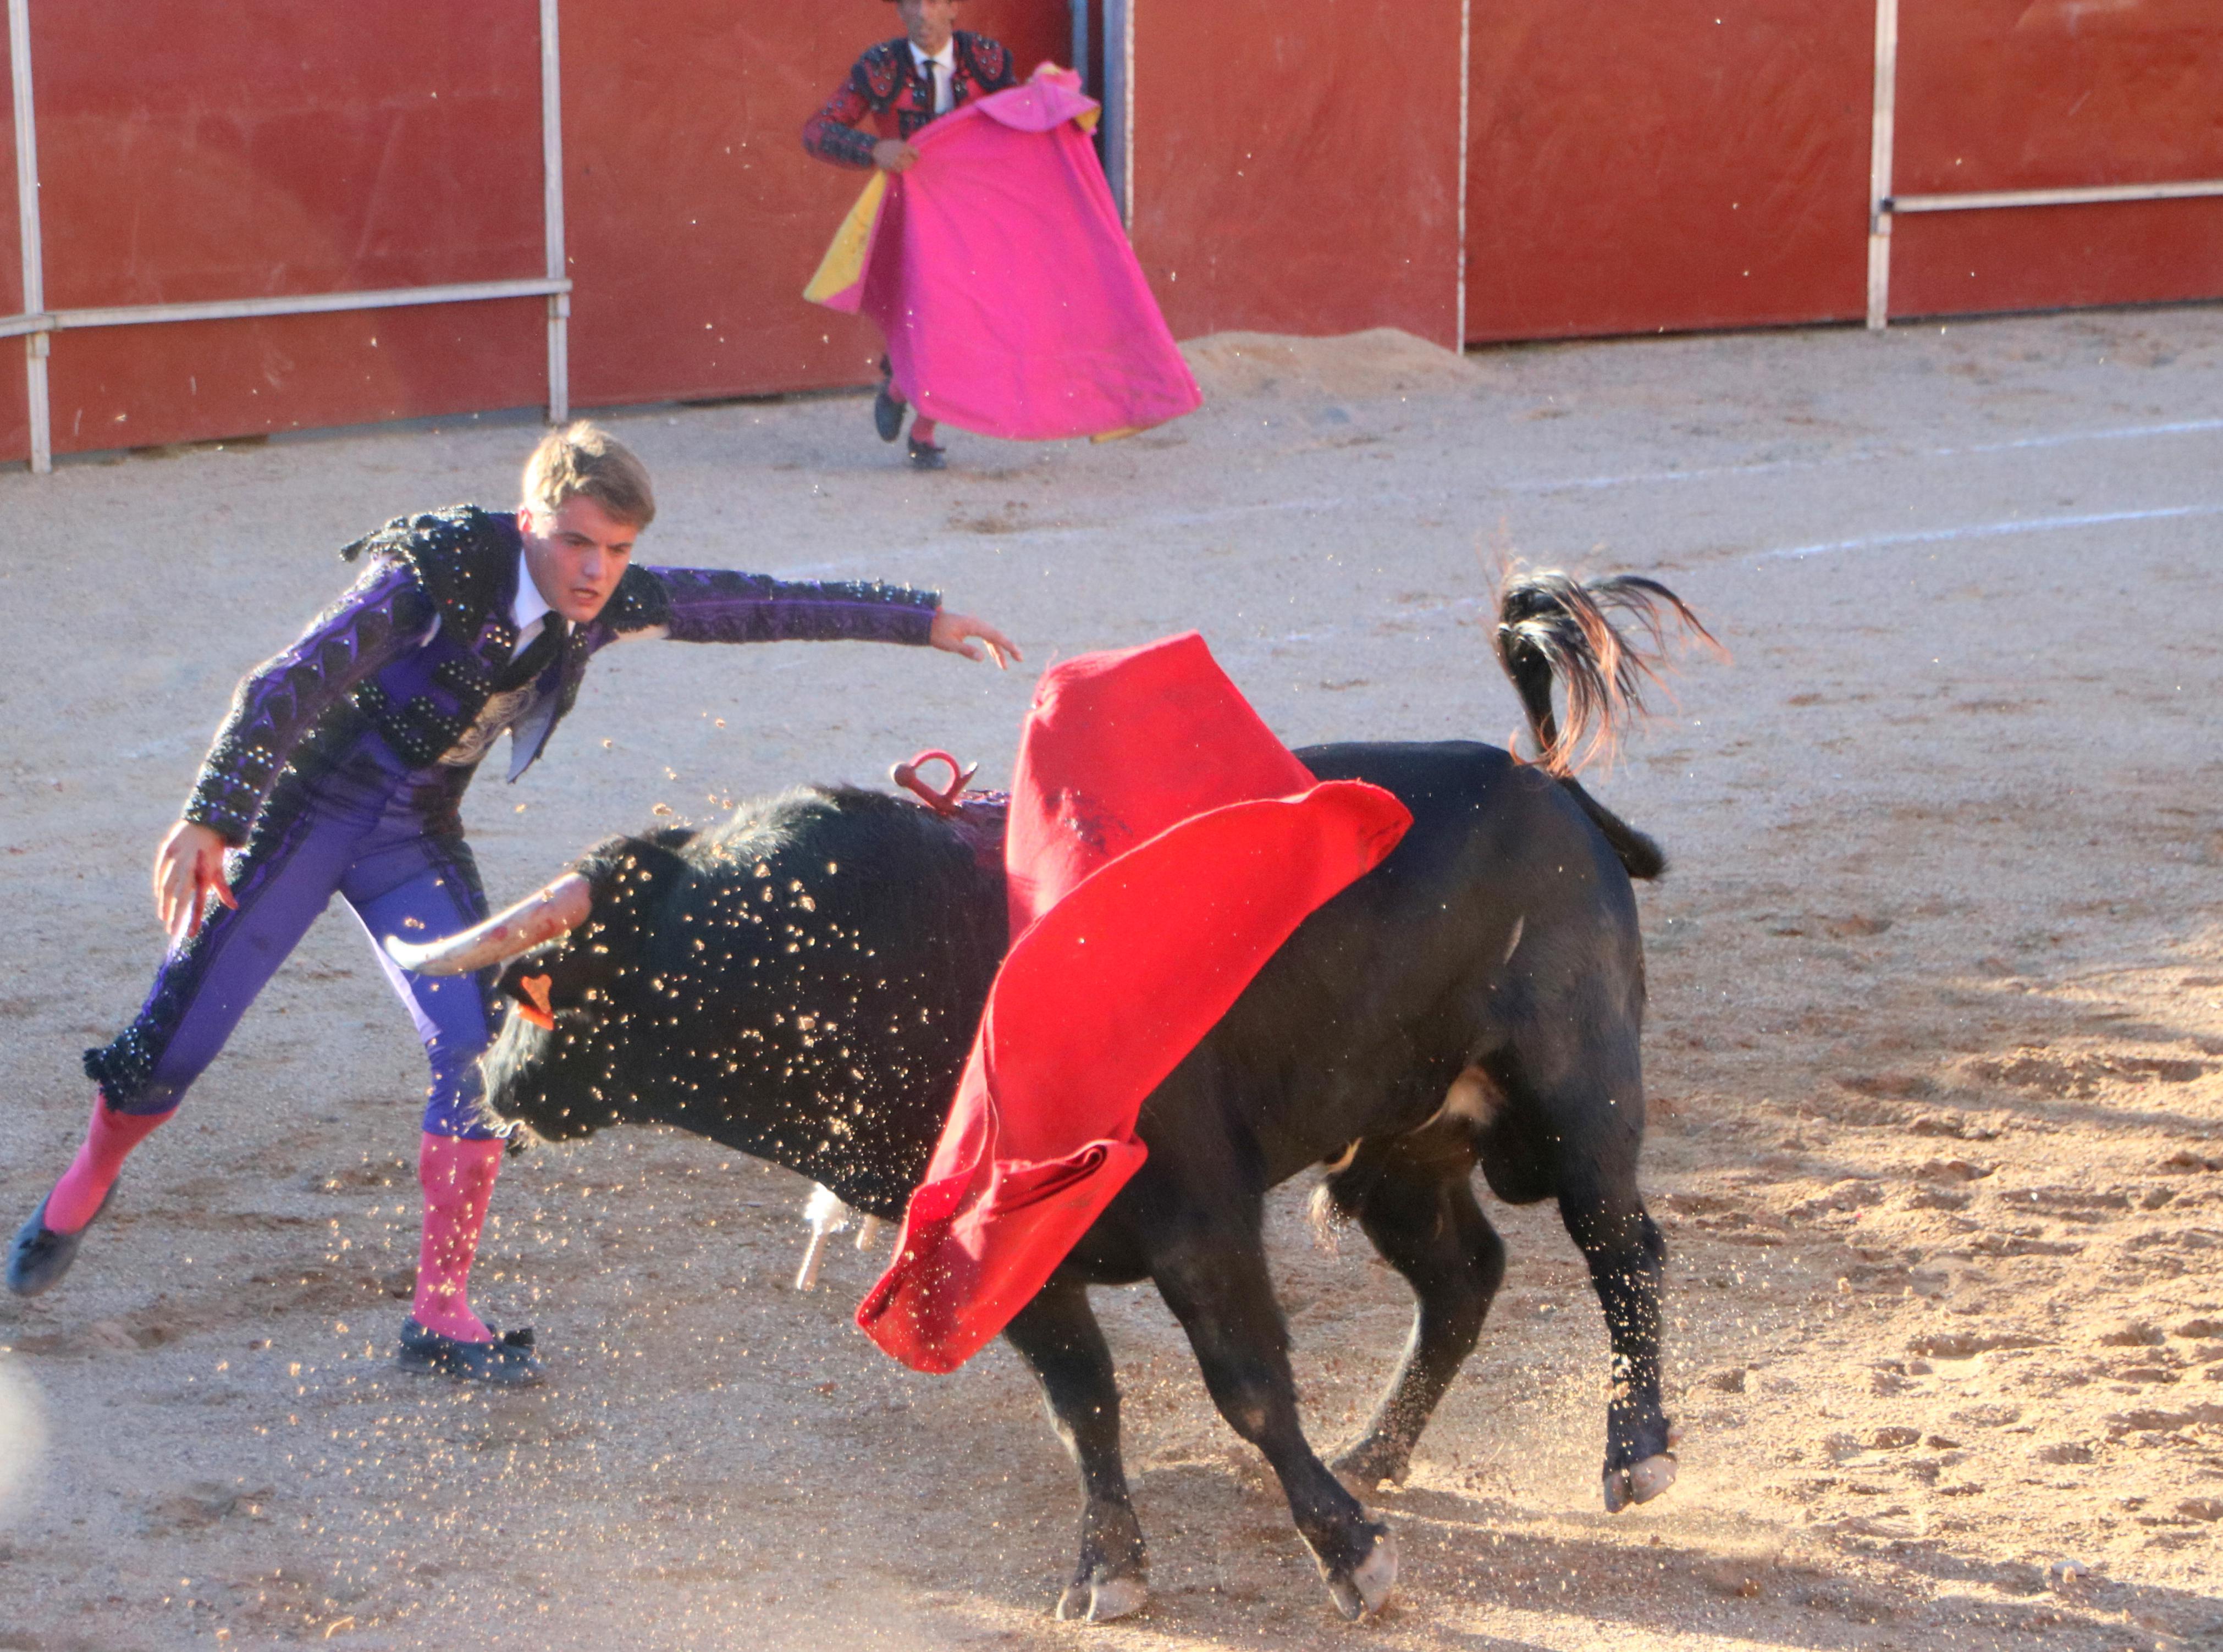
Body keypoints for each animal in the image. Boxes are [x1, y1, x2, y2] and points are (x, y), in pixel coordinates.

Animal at [433, 573, 1716, 1618]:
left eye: (558, 985)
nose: (493, 1081)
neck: (902, 963)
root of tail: (1542, 780)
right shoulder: (1006, 1257)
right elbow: (1081, 1403)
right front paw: (1111, 1570)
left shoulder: (1201, 1222)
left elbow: (1247, 1386)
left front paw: (1350, 1558)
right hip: (1395, 1142)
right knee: (1460, 1276)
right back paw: (1375, 1451)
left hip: (1573, 1086)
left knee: (1621, 1243)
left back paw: (1632, 1450)